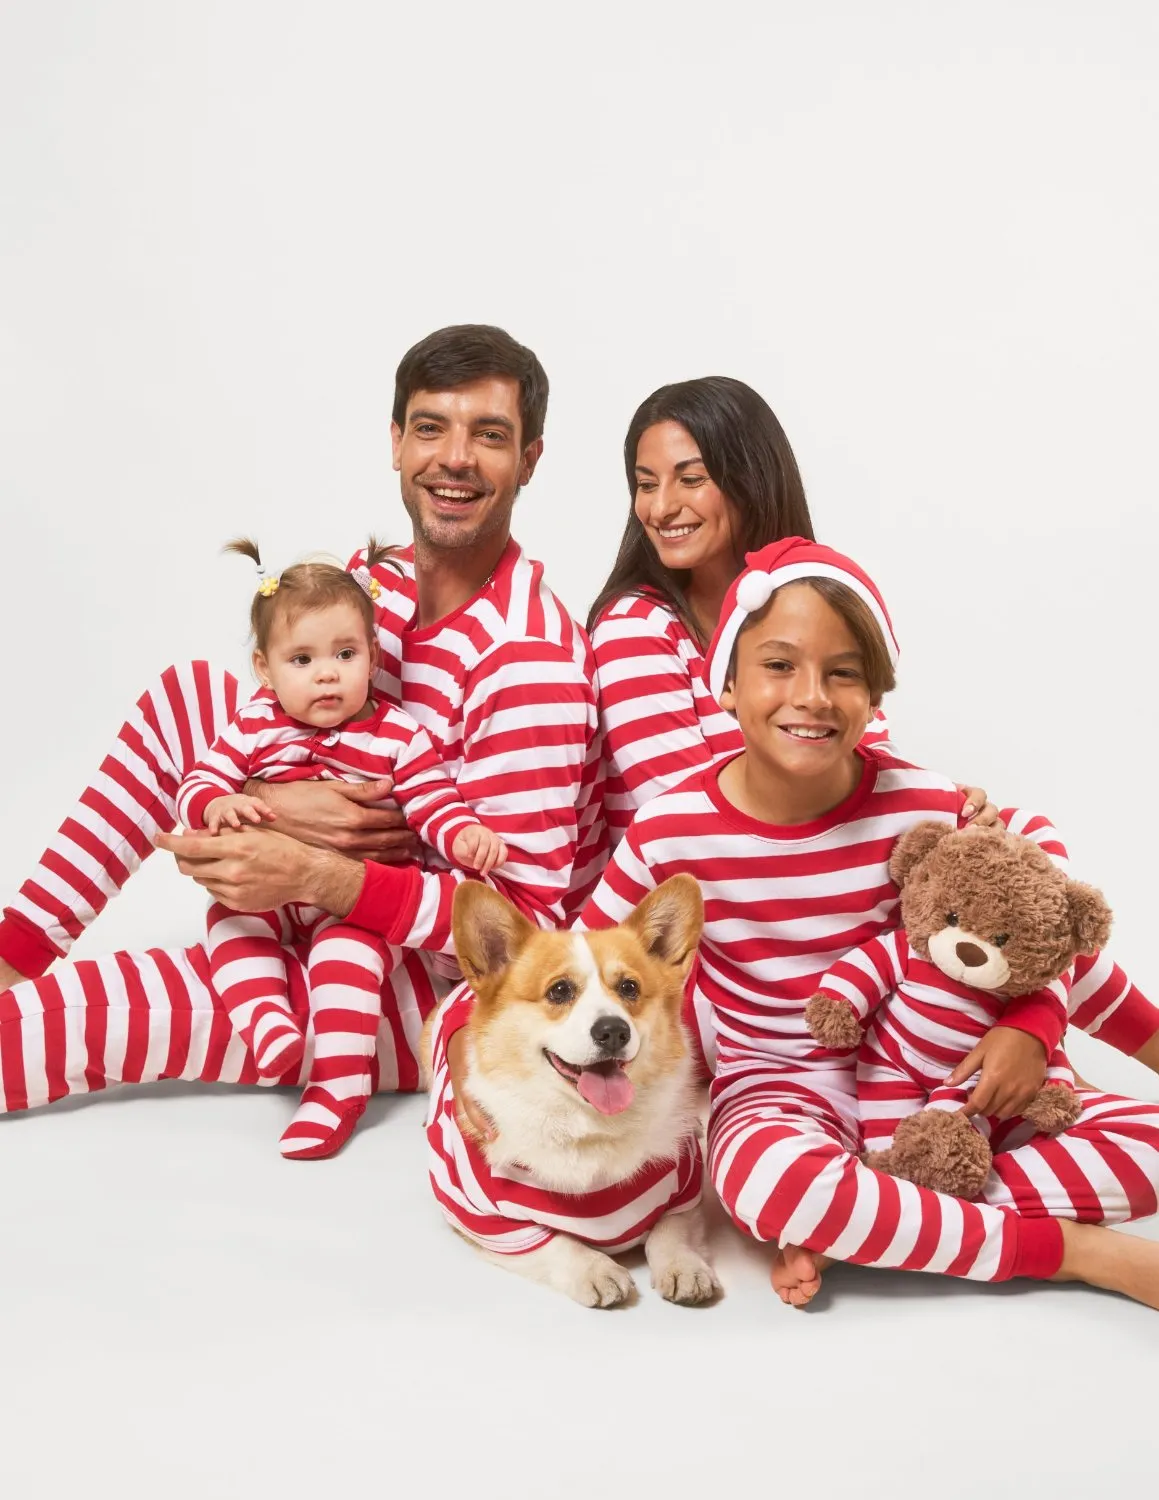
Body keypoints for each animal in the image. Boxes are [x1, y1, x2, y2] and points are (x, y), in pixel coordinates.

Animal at [419, 876, 719, 1308]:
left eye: (629, 988)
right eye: (559, 991)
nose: (613, 1031)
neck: (587, 1126)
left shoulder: (687, 1192)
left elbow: (671, 1230)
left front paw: (684, 1267)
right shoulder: (485, 1221)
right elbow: (556, 1243)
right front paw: (596, 1271)